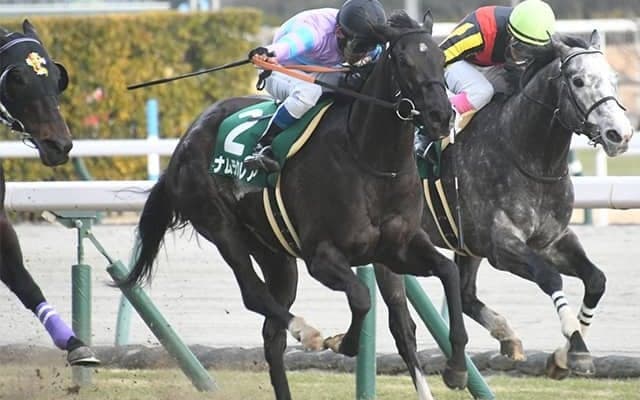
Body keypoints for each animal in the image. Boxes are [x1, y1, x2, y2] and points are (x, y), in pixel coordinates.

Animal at [121, 11, 470, 400]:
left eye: (441, 58)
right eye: (405, 61)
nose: (441, 116)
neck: (370, 159)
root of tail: (184, 142)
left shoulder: (397, 248)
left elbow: (447, 272)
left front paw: (456, 369)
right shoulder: (322, 256)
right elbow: (361, 297)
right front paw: (340, 342)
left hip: (274, 252)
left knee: (271, 333)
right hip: (220, 226)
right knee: (253, 293)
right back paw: (307, 331)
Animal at [373, 31, 634, 381]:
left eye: (614, 78)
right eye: (578, 80)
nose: (620, 134)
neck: (527, 155)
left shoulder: (552, 239)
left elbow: (596, 279)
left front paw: (565, 353)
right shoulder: (502, 245)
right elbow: (549, 277)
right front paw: (576, 347)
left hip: (465, 243)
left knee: (466, 294)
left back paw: (507, 336)